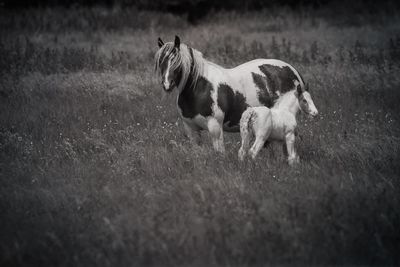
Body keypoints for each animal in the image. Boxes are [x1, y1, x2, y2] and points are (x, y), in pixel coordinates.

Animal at [156, 36, 312, 153]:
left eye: (177, 62)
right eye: (161, 62)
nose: (167, 84)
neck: (200, 88)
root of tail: (292, 70)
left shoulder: (215, 127)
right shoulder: (191, 130)